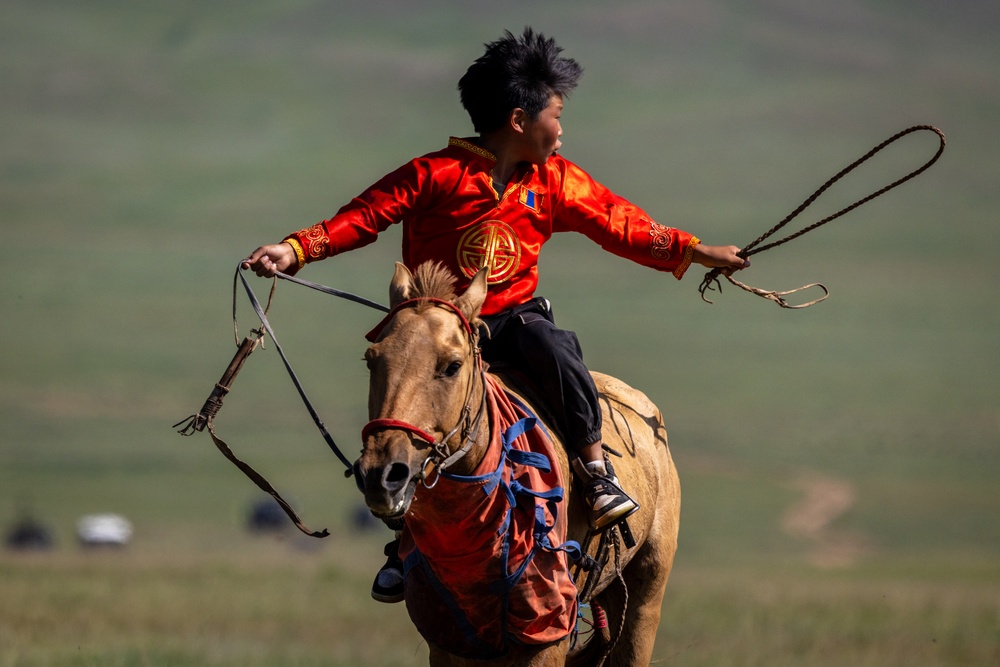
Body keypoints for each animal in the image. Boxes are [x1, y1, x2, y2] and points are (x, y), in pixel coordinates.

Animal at [352, 264, 680, 664]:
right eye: (372, 360)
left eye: (452, 366)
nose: (382, 475)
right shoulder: (449, 640)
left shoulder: (547, 634)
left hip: (644, 597)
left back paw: (606, 494)